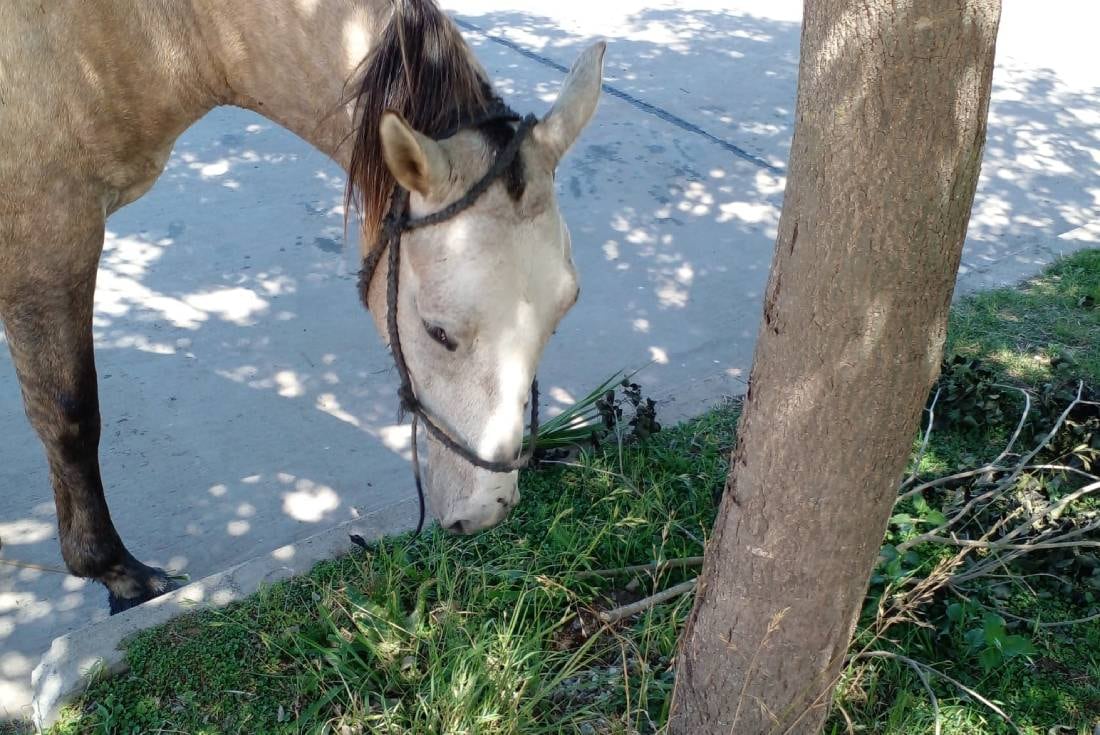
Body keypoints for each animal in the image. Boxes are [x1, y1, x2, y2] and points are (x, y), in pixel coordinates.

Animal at [0, 0, 602, 616]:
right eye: (437, 332)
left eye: (560, 316)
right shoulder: (47, 236)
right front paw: (113, 572)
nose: (486, 509)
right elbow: (69, 413)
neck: (158, 31)